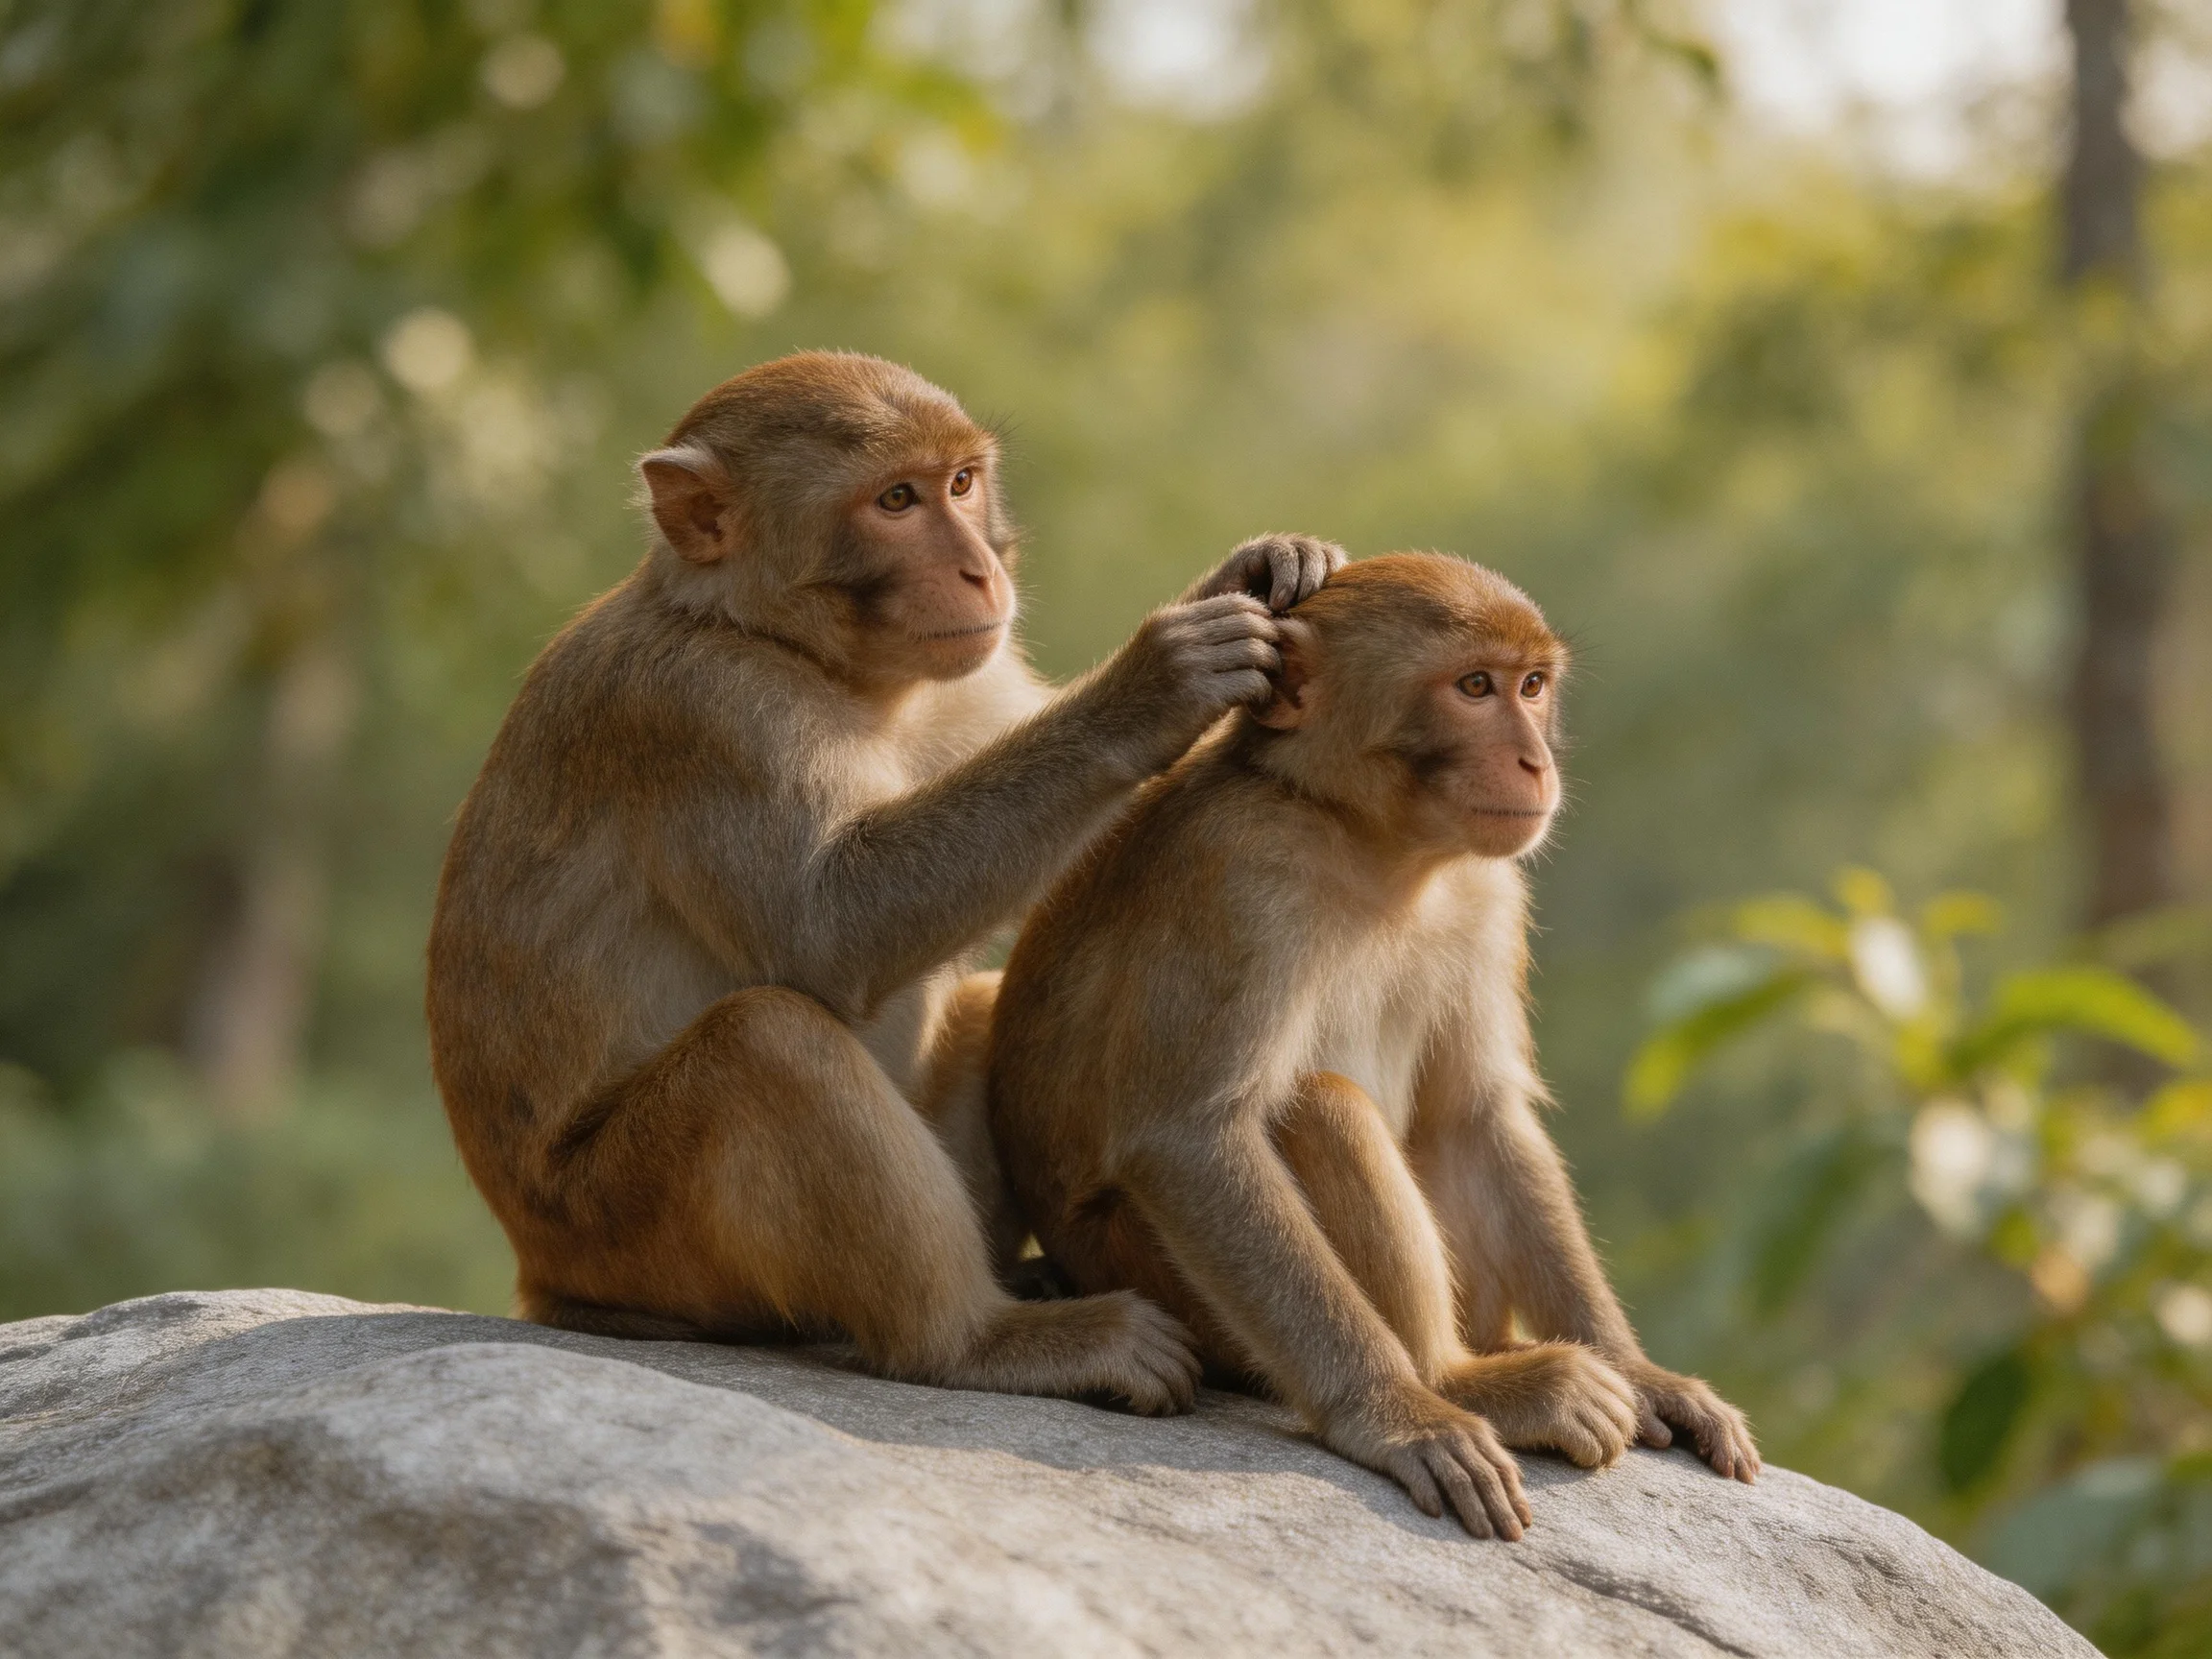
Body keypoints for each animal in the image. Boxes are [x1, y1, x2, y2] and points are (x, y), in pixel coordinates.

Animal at [426, 349, 1348, 1412]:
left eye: (962, 484)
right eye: (896, 501)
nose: (980, 569)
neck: (784, 644)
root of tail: (543, 1272)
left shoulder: (974, 677)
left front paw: (1265, 565)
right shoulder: (703, 714)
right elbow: (828, 933)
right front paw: (1156, 685)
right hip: (625, 1232)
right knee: (768, 1043)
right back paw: (977, 1340)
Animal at [989, 551, 1759, 1537]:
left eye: (1531, 686)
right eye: (1473, 688)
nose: (1535, 760)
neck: (1372, 841)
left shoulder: (1489, 891)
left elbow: (1475, 1117)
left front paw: (1641, 1371)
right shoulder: (1242, 874)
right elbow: (1187, 1137)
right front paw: (1389, 1416)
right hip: (1154, 1279)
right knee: (1318, 1106)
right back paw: (1456, 1384)